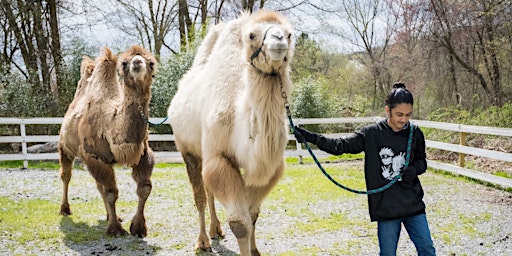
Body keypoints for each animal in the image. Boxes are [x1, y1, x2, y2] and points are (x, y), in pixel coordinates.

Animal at [58, 46, 157, 238]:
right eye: (124, 63)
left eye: (151, 62)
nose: (137, 62)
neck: (111, 125)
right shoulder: (94, 156)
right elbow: (111, 192)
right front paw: (115, 229)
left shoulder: (141, 154)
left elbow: (144, 188)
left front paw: (138, 228)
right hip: (65, 146)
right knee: (66, 175)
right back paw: (65, 209)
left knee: (98, 185)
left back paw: (111, 215)